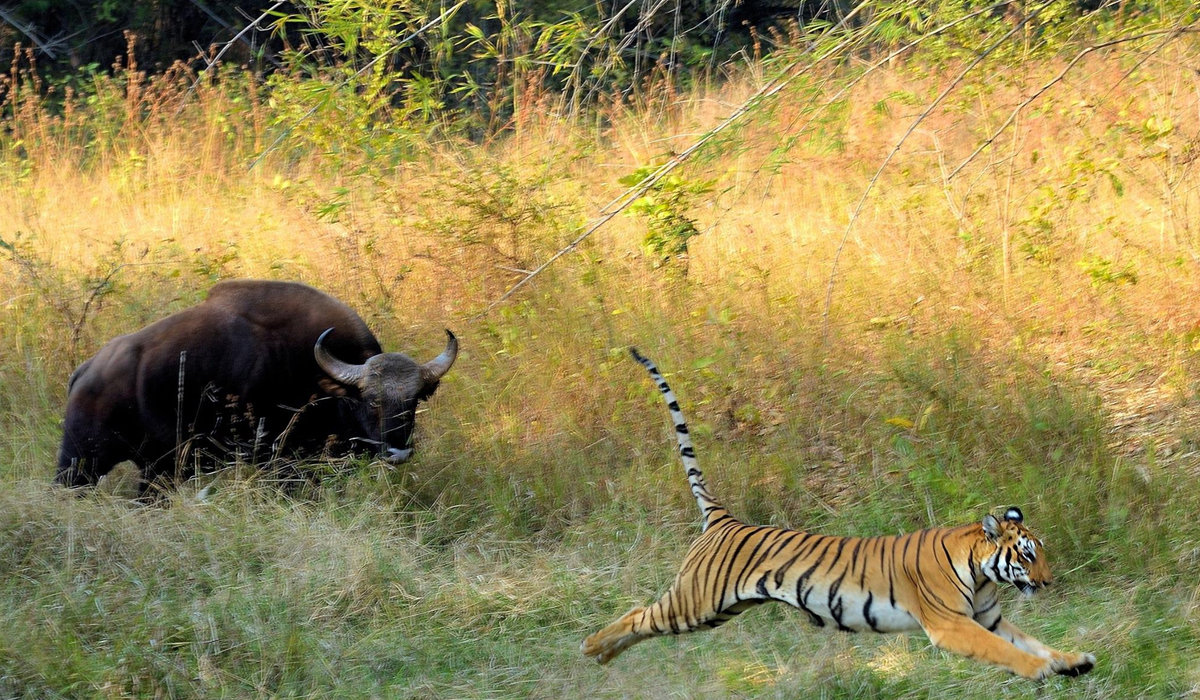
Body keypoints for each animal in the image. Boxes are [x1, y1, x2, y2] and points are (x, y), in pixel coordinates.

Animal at [52, 276, 453, 494]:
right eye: (371, 401)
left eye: (414, 402)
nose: (398, 451)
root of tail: (85, 373)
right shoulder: (283, 464)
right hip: (80, 464)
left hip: (153, 472)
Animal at [580, 348, 1099, 681]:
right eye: (1027, 556)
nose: (1049, 582)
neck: (982, 570)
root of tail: (725, 518)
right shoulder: (954, 625)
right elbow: (1010, 652)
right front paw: (1042, 670)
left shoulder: (988, 618)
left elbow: (1029, 639)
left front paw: (1071, 660)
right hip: (696, 602)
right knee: (637, 615)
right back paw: (591, 650)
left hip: (718, 610)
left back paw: (600, 657)